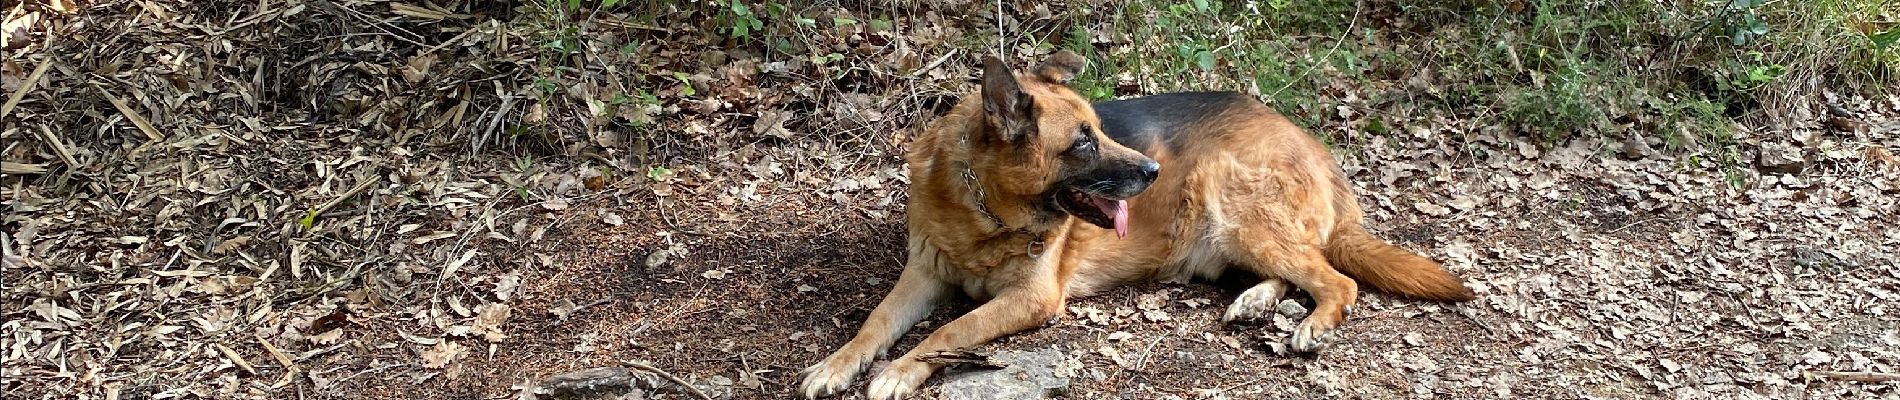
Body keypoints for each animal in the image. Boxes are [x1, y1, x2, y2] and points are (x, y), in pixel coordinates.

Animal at [794, 51, 1474, 398]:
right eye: (1083, 143)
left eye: (1100, 129)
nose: (1151, 170)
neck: (984, 210)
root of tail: (1312, 143)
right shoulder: (923, 275)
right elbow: (875, 322)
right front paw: (837, 364)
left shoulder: (1030, 299)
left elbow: (949, 330)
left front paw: (899, 370)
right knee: (1295, 271)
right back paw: (1255, 300)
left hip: (1232, 203)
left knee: (1337, 279)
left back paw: (1311, 324)